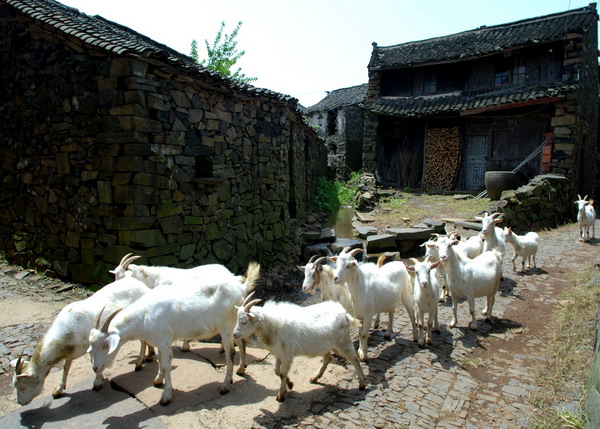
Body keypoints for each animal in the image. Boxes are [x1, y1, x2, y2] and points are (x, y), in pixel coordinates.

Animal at [12, 276, 150, 402]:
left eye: (23, 387)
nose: (21, 403)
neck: (67, 328)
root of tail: (141, 284)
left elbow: (93, 363)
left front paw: (97, 382)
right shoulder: (70, 350)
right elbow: (66, 367)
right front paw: (59, 389)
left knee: (143, 341)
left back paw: (139, 363)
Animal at [87, 260, 260, 404]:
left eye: (105, 345)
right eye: (92, 345)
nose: (95, 368)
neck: (145, 314)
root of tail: (240, 287)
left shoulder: (164, 341)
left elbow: (166, 365)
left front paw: (166, 396)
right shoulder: (160, 341)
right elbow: (160, 360)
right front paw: (158, 379)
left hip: (226, 327)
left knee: (231, 352)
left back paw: (225, 385)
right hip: (233, 327)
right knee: (240, 341)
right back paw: (240, 369)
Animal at [233, 292, 366, 400]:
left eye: (244, 321)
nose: (234, 334)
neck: (272, 326)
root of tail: (345, 314)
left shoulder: (286, 355)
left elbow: (282, 373)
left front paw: (281, 395)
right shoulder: (279, 353)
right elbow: (277, 371)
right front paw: (289, 384)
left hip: (343, 342)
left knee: (354, 359)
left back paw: (362, 384)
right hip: (326, 345)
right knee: (328, 358)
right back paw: (315, 377)